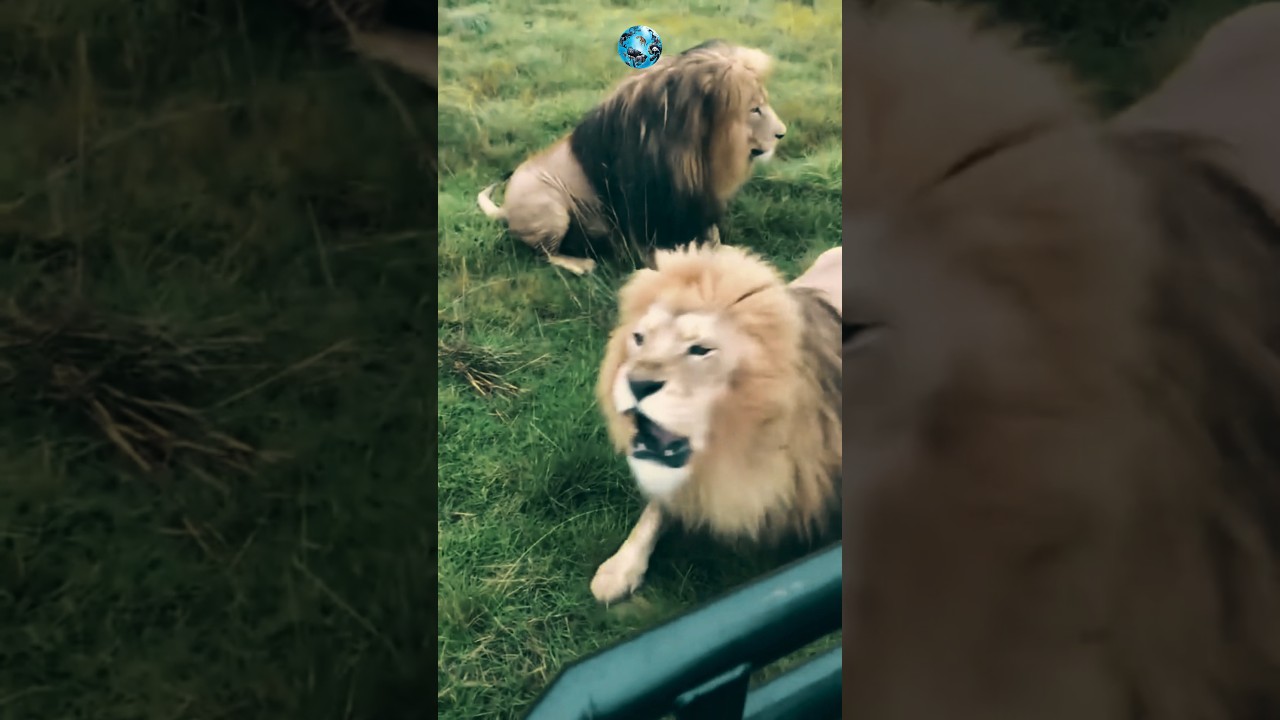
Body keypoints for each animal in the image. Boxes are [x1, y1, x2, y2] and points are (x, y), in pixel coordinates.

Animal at [476, 41, 787, 276]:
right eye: (755, 109)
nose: (782, 133)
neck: (701, 154)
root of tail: (507, 211)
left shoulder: (695, 199)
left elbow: (710, 235)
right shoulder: (649, 208)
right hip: (549, 205)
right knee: (544, 253)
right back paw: (579, 264)